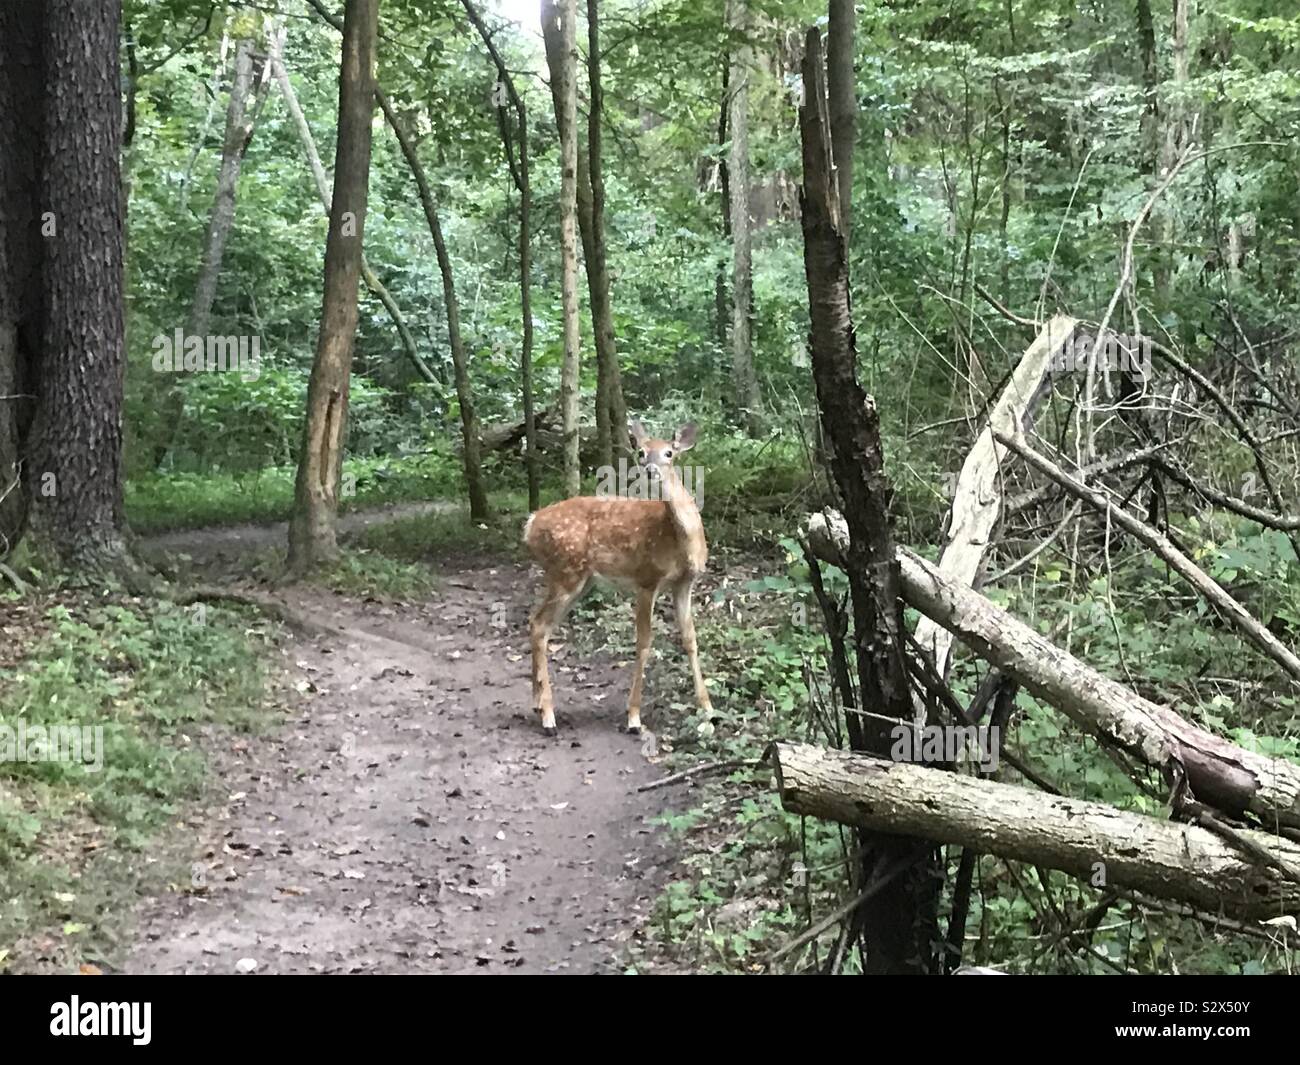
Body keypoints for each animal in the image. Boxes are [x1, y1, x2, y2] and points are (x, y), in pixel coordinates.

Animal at [522, 421, 717, 738]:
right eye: (642, 452)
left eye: (669, 452)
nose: (649, 469)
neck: (681, 539)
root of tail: (529, 525)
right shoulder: (647, 579)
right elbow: (644, 642)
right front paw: (634, 717)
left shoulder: (684, 583)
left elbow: (690, 639)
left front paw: (708, 709)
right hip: (566, 571)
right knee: (539, 623)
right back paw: (548, 717)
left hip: (579, 579)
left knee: (538, 624)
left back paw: (537, 704)